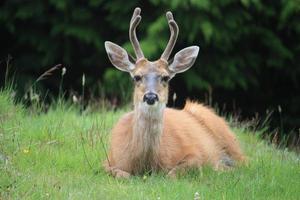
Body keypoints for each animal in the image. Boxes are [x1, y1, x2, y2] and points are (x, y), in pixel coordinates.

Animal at [102, 7, 244, 178]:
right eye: (137, 77)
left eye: (165, 77)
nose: (150, 96)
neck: (146, 163)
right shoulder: (109, 159)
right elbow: (122, 174)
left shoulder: (194, 154)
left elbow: (173, 173)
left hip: (228, 137)